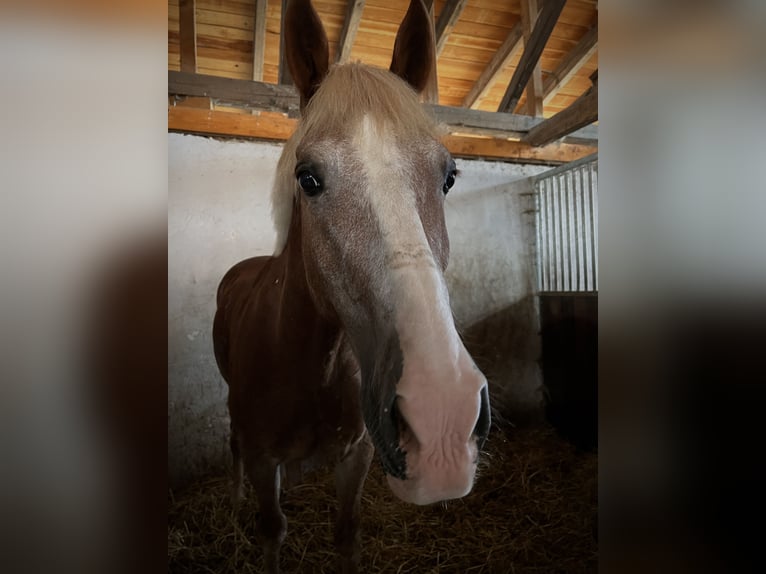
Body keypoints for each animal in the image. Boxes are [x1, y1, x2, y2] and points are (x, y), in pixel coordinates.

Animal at [213, 2, 492, 572]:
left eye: (449, 176)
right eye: (308, 177)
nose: (442, 420)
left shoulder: (357, 457)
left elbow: (346, 532)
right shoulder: (261, 458)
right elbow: (271, 530)